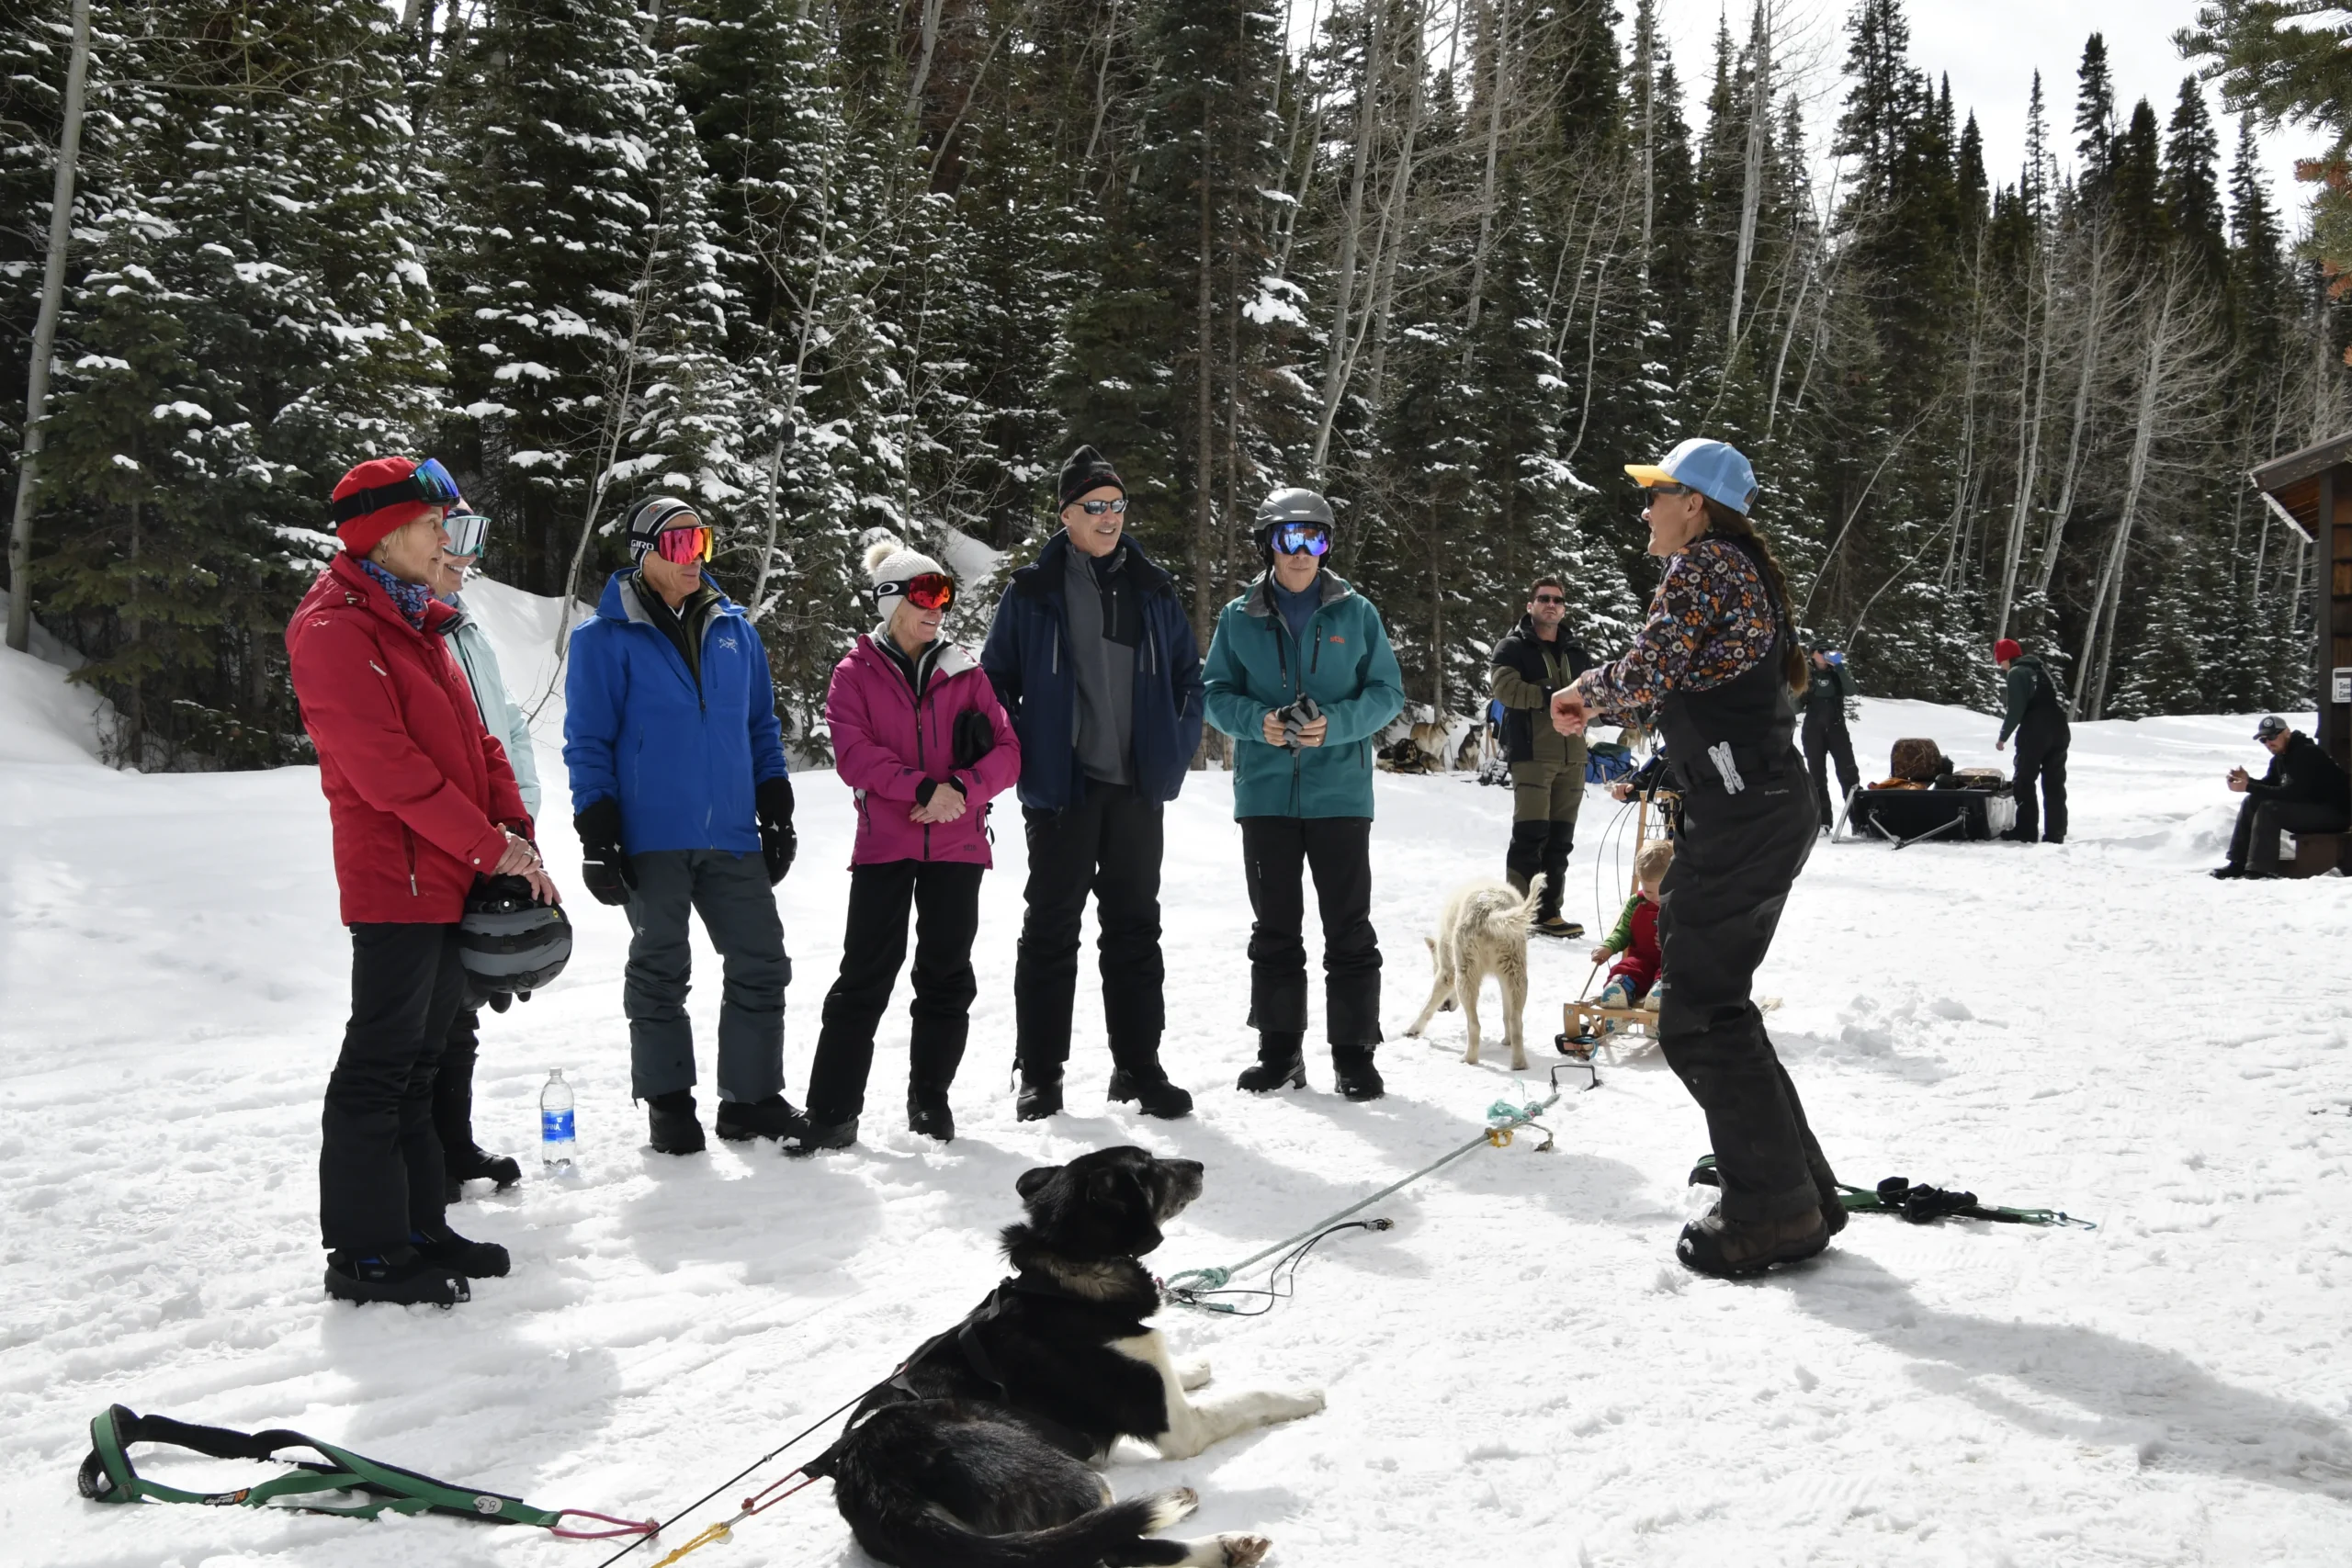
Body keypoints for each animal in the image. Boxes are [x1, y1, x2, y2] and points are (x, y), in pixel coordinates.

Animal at [807, 1147, 1324, 1568]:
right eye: (1149, 1168)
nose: (1197, 1165)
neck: (1067, 1282)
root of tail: (872, 1477)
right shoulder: (1182, 1429)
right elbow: (1252, 1398)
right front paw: (1302, 1395)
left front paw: (1193, 1369)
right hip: (1069, 1474)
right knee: (1115, 1547)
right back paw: (1226, 1543)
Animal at [1403, 874, 1544, 1069]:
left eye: (1433, 970)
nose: (1443, 1008)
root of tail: (1491, 912)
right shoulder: (1503, 979)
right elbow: (1506, 1014)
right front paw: (1506, 1041)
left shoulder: (1448, 972)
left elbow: (1427, 1006)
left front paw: (1412, 1031)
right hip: (1517, 975)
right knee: (1516, 1022)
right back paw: (1518, 1065)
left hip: (1465, 977)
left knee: (1475, 1026)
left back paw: (1468, 1059)